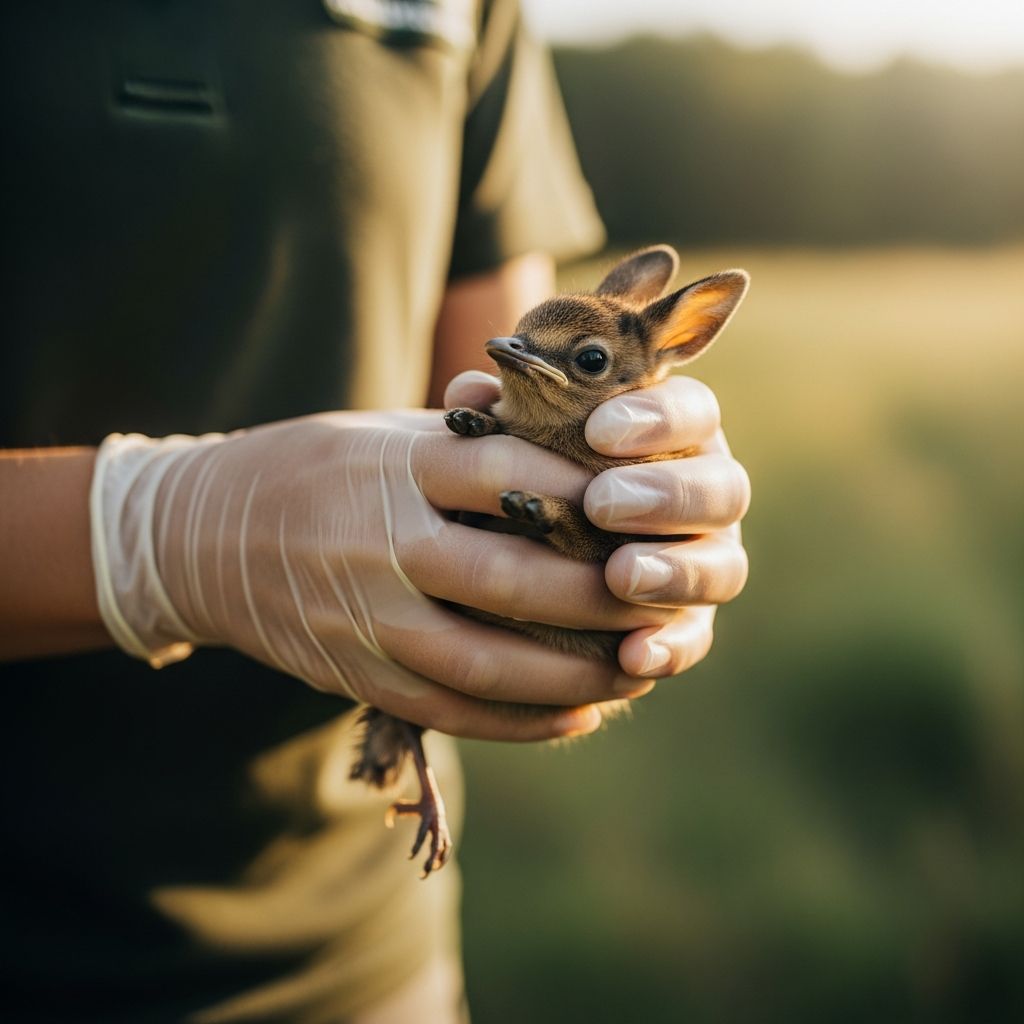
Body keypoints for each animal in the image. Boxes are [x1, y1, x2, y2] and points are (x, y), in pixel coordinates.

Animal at [351, 245, 749, 876]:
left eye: (591, 358)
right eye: (521, 325)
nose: (503, 344)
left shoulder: (633, 535)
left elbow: (590, 529)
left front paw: (536, 504)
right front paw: (474, 420)